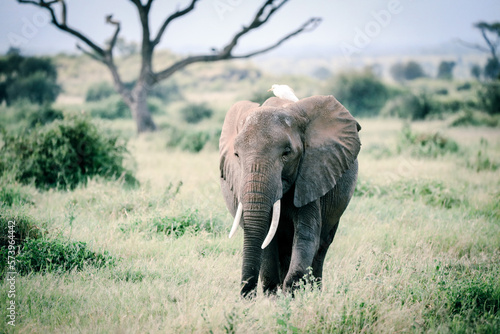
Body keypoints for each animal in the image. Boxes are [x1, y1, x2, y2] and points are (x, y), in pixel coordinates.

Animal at [221, 94, 362, 298]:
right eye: (236, 154)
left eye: (286, 153)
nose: (248, 296)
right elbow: (267, 241)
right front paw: (275, 296)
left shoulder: (311, 176)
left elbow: (306, 235)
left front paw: (291, 294)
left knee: (322, 245)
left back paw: (315, 292)